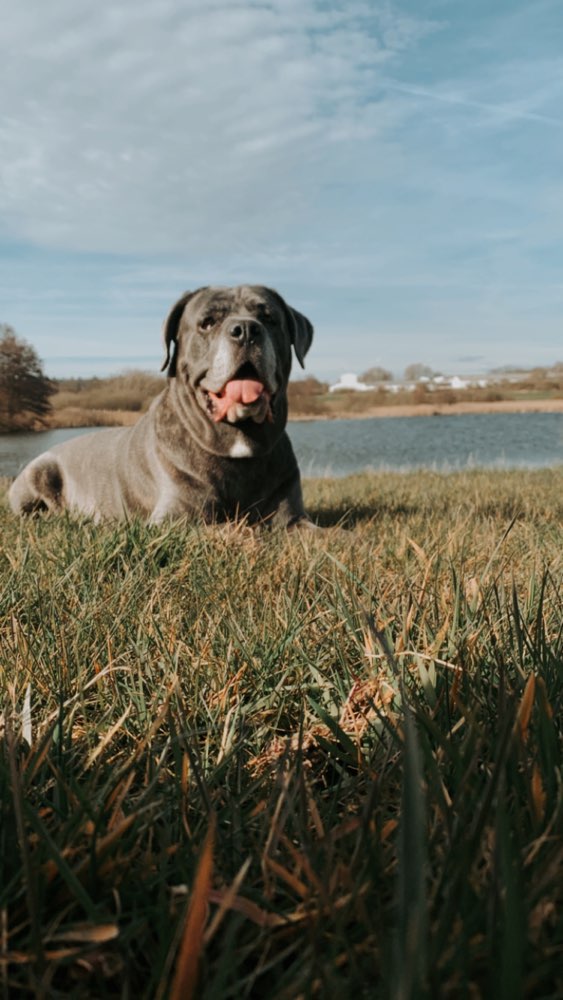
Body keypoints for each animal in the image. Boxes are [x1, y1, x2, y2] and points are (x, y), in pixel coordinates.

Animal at [8, 286, 316, 528]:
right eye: (207, 322)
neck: (238, 438)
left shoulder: (293, 518)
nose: (247, 330)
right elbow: (240, 529)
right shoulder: (176, 520)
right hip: (38, 471)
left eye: (269, 318)